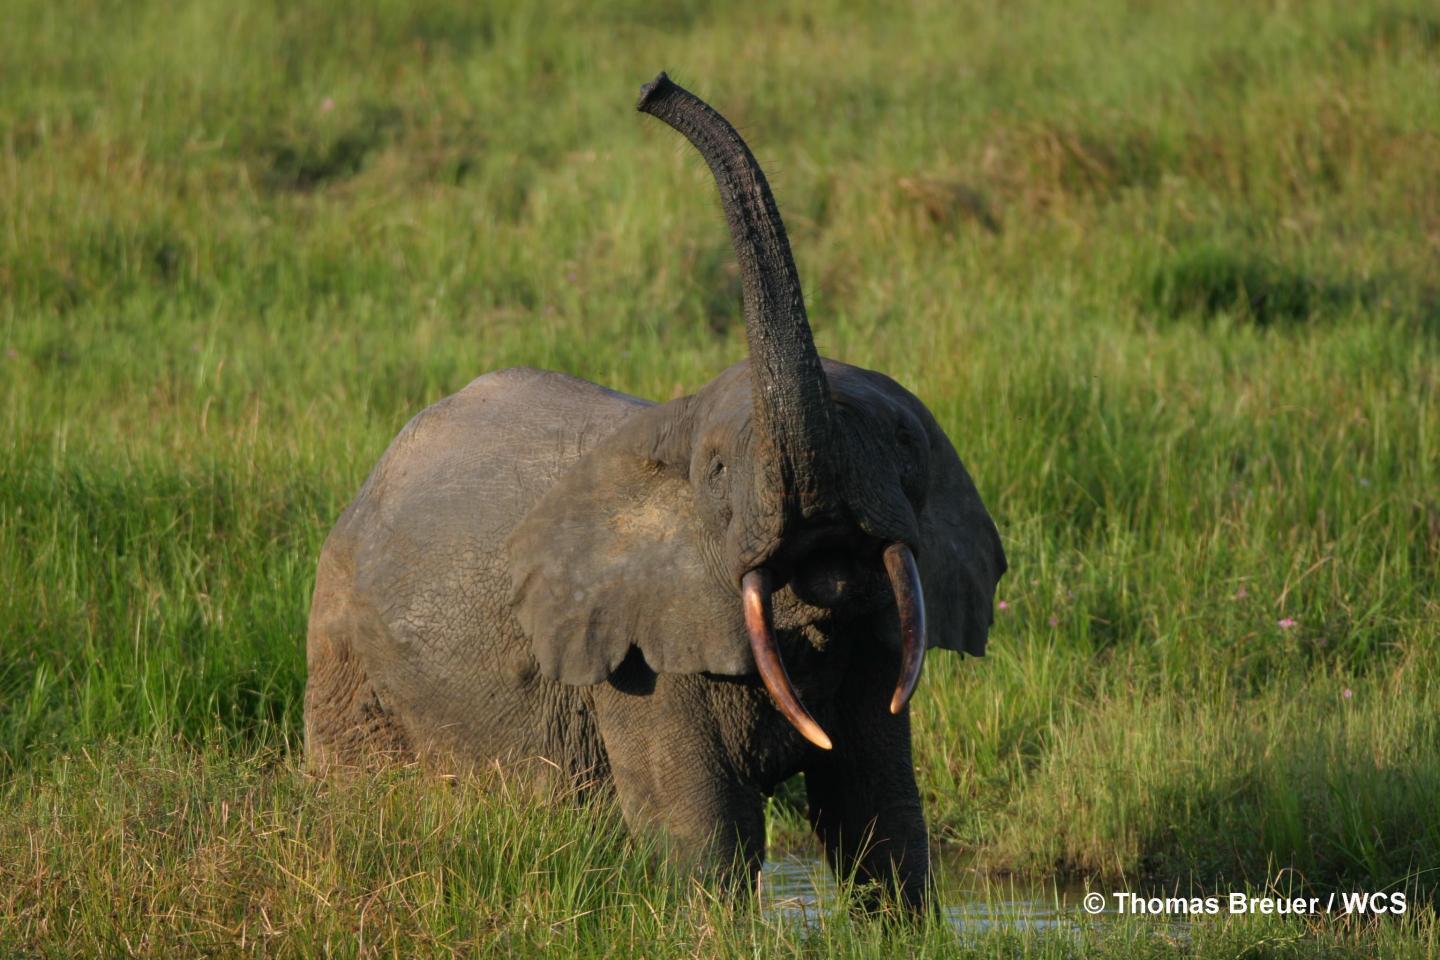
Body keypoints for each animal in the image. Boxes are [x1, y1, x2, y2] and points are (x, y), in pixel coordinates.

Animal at [304, 72, 1005, 908]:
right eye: (719, 472)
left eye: (904, 446)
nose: (655, 88)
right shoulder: (632, 655)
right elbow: (700, 828)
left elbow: (879, 813)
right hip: (344, 655)